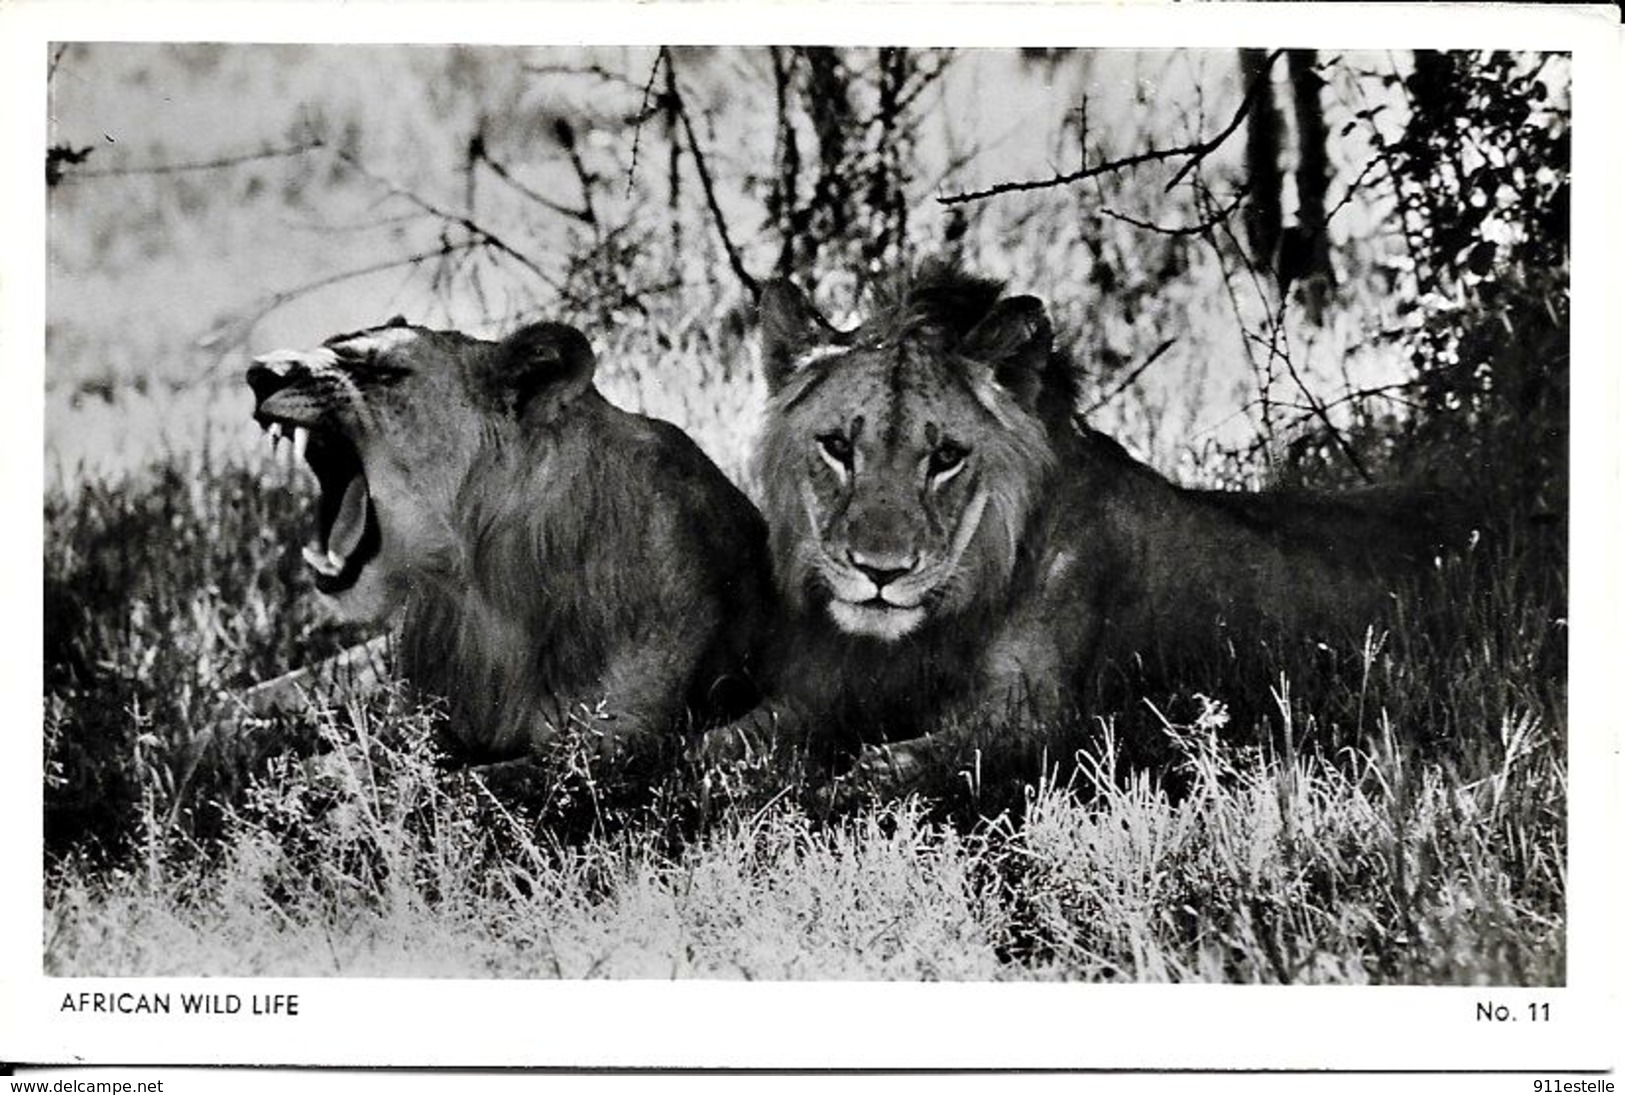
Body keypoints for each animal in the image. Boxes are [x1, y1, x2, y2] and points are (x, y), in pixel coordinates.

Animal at [705, 261, 1469, 792]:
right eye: (837, 447)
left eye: (945, 457)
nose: (879, 572)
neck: (934, 624)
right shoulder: (821, 690)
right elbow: (720, 741)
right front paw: (715, 768)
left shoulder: (1037, 716)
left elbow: (900, 762)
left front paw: (832, 784)